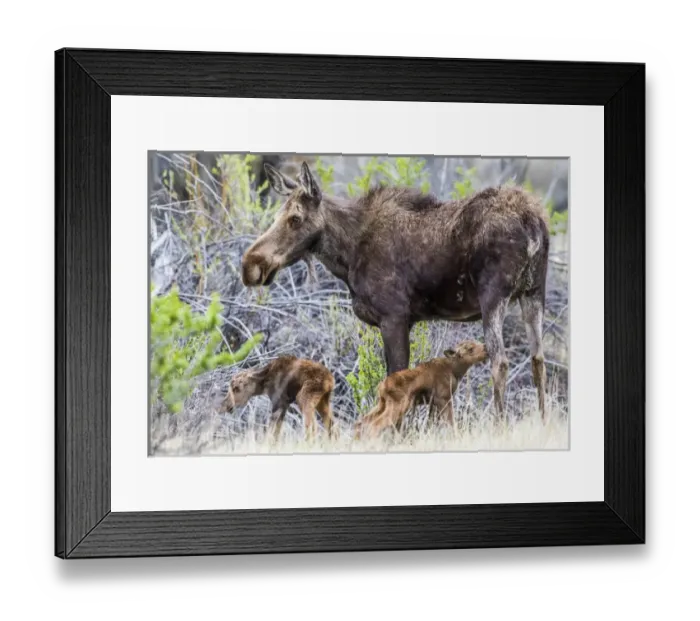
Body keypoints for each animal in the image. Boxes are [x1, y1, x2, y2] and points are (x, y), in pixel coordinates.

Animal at [241, 162, 550, 420]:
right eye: (277, 215)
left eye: (295, 218)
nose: (250, 264)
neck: (347, 255)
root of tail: (533, 224)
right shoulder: (403, 321)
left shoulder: (394, 317)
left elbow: (397, 380)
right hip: (534, 292)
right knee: (538, 360)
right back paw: (544, 423)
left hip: (493, 295)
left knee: (500, 362)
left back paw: (501, 425)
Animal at [355, 339, 489, 439]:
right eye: (470, 348)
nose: (486, 347)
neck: (455, 371)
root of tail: (381, 387)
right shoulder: (443, 398)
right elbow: (450, 422)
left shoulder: (433, 402)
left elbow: (432, 423)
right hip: (399, 404)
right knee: (375, 425)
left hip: (382, 404)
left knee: (361, 422)